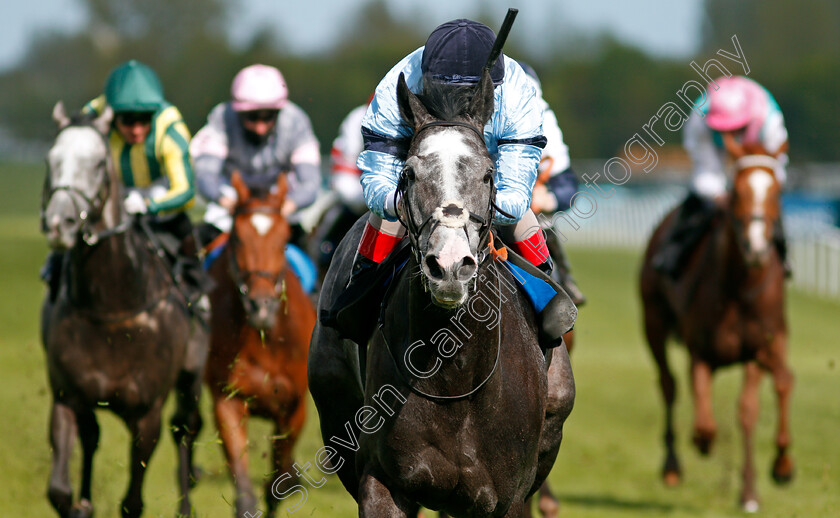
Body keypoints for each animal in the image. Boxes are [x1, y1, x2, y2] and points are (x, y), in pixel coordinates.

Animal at [40, 103, 208, 518]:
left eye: (99, 163)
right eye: (51, 159)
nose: (60, 224)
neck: (111, 309)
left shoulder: (147, 412)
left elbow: (132, 502)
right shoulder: (67, 395)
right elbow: (60, 491)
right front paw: (81, 505)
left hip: (191, 377)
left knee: (185, 429)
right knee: (92, 438)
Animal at [205, 173, 316, 516]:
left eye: (284, 239)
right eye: (238, 239)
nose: (261, 306)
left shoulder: (294, 407)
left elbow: (278, 485)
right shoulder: (227, 399)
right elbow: (244, 492)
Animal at [308, 70, 576, 518]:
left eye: (488, 173)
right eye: (409, 174)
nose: (449, 265)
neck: (455, 376)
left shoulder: (508, 497)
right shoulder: (382, 482)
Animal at [640, 133, 792, 512]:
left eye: (777, 191)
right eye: (736, 192)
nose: (756, 248)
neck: (738, 288)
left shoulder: (758, 349)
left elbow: (750, 410)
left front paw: (753, 490)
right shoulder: (701, 352)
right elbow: (705, 424)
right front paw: (703, 443)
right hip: (652, 319)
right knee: (668, 383)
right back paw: (672, 467)